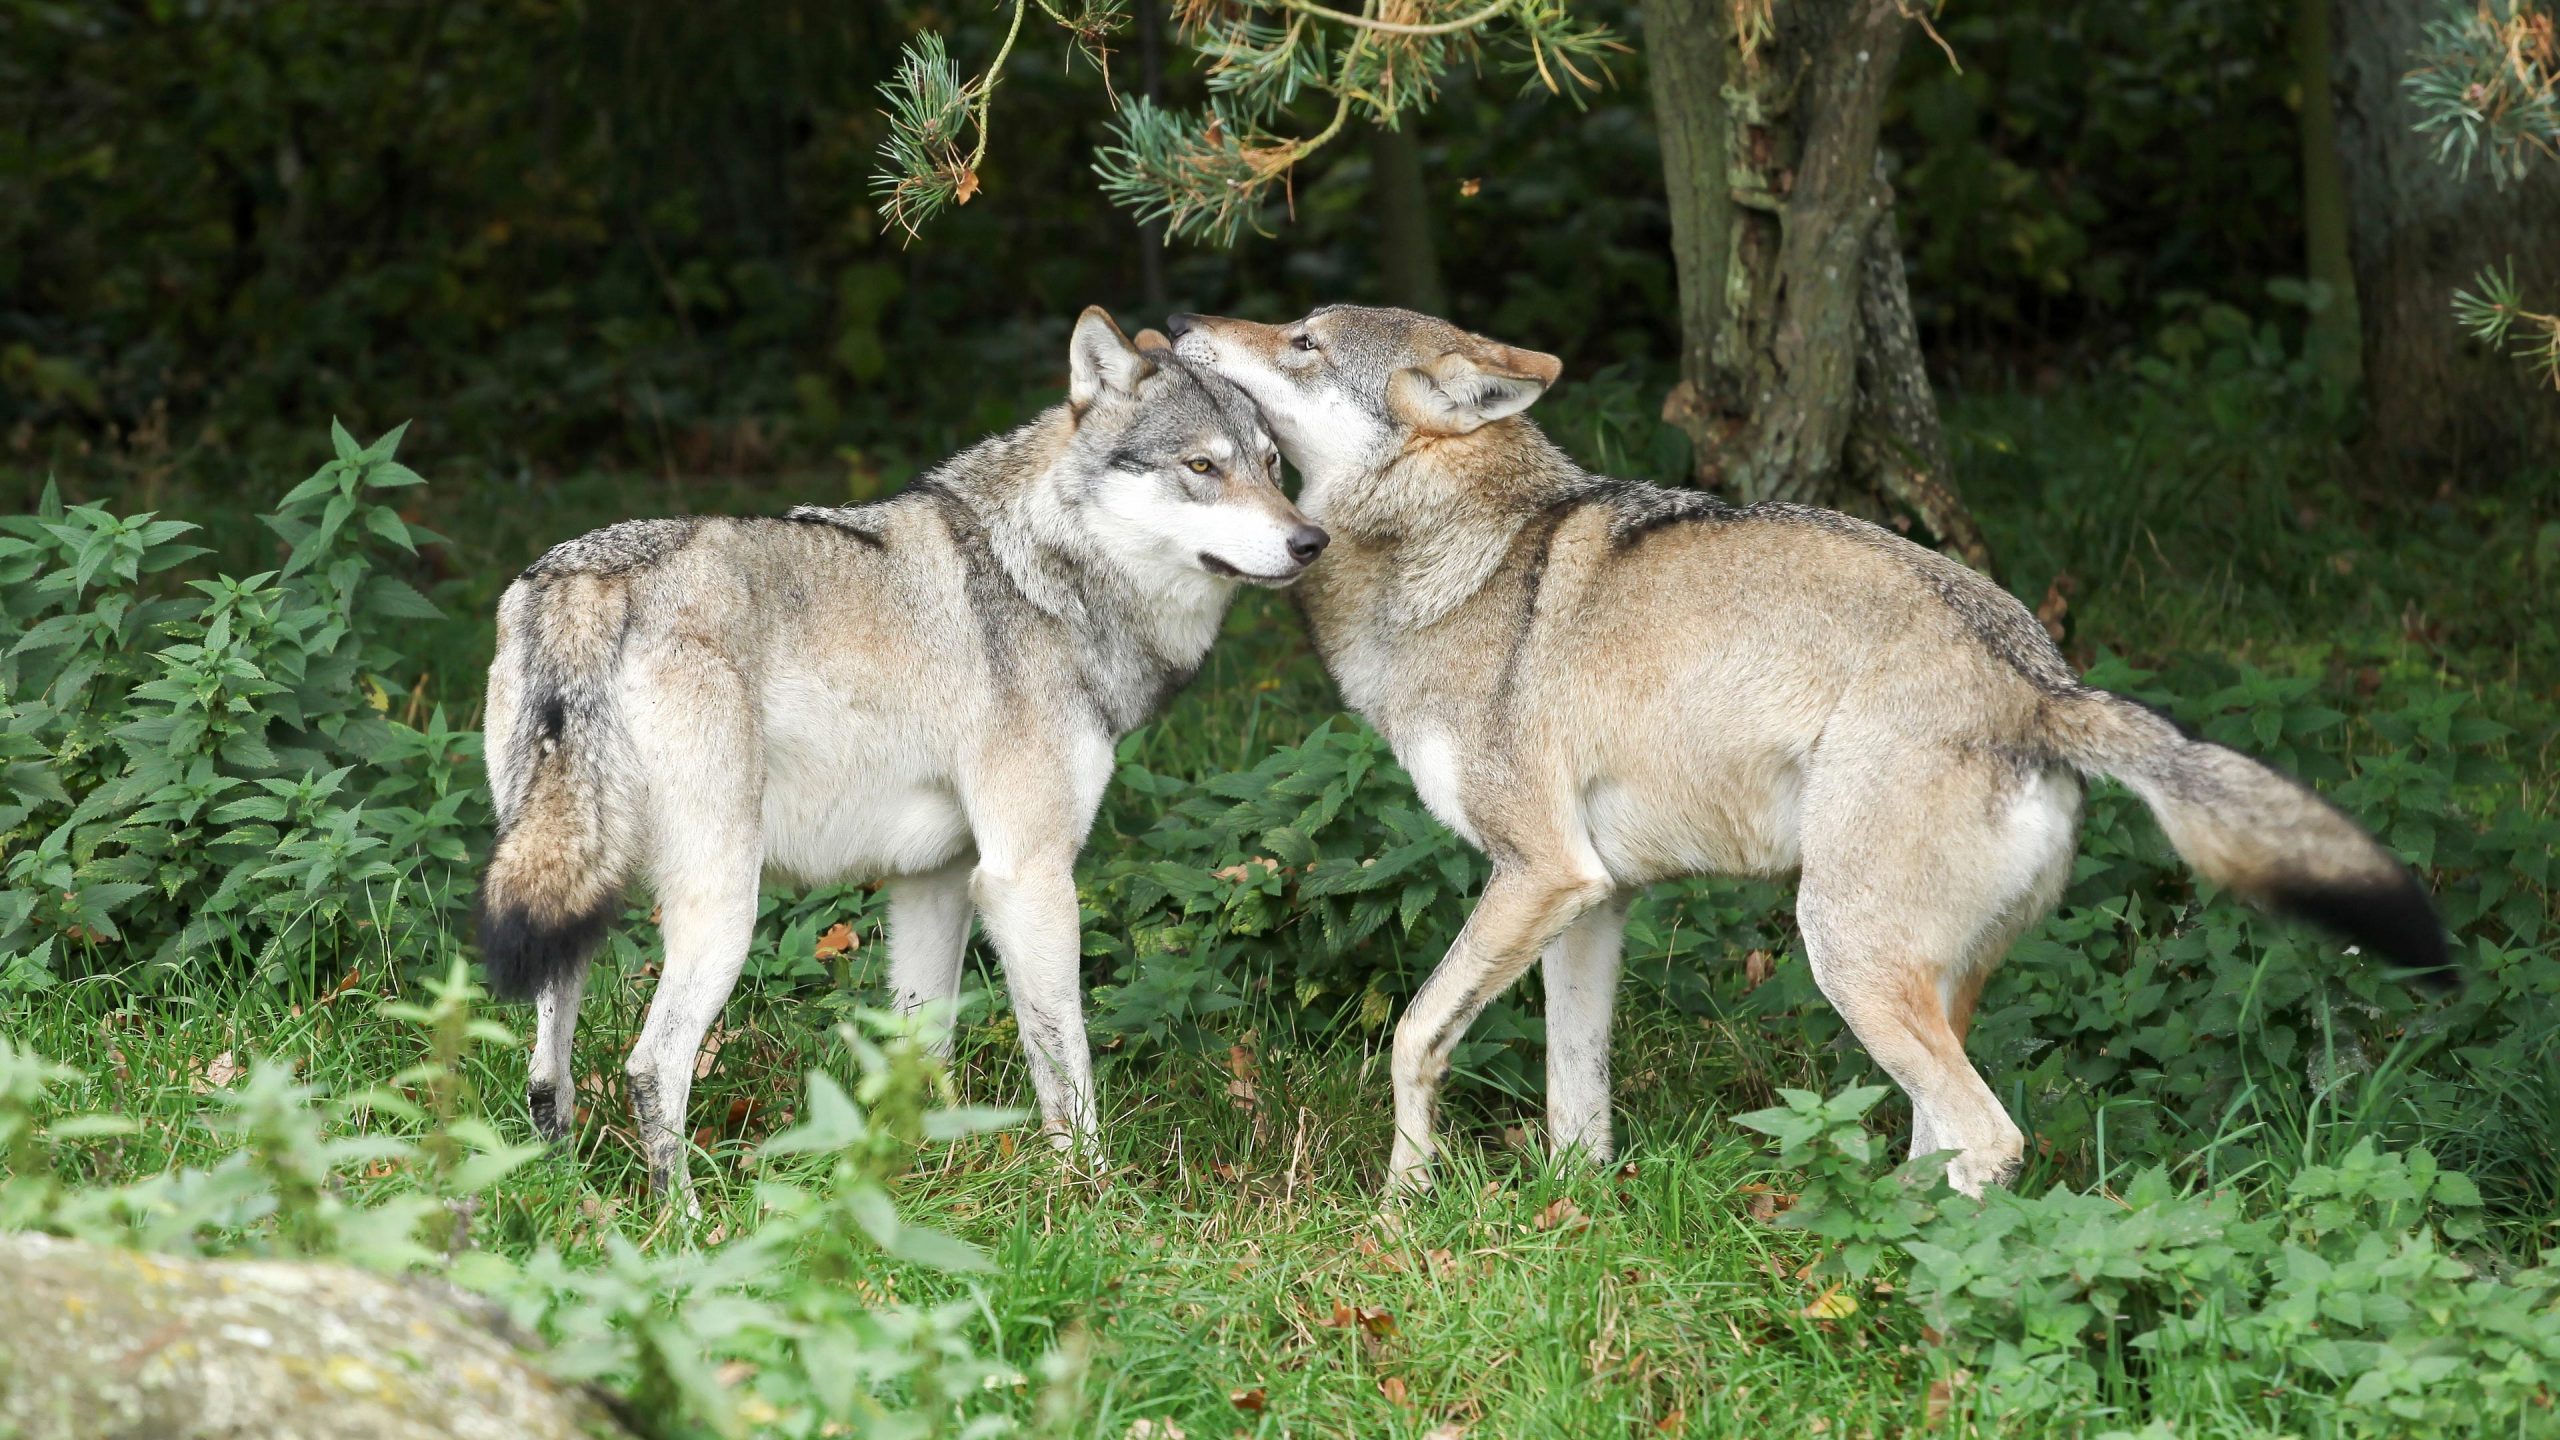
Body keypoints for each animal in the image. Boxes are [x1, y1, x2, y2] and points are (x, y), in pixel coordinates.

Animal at [471, 311, 1331, 1199]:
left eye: (1270, 463)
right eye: (1201, 467)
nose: (1313, 541)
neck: (1044, 574)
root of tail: (583, 584)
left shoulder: (936, 880)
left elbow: (923, 1048)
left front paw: (929, 1171)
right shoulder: (1028, 878)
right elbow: (1068, 1067)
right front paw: (1091, 1193)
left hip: (572, 900)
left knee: (547, 1075)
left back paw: (564, 1192)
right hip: (722, 909)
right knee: (651, 1066)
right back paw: (686, 1219)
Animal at [1172, 299, 2447, 1188]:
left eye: (1300, 340)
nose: (1183, 326)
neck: (1449, 552)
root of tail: (2041, 682)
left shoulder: (1536, 874)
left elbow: (1410, 1038)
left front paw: (1404, 1203)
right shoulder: (1591, 901)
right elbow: (1574, 1101)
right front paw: (1567, 1217)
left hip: (1843, 953)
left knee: (1989, 1138)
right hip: (1917, 982)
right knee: (1940, 1137)